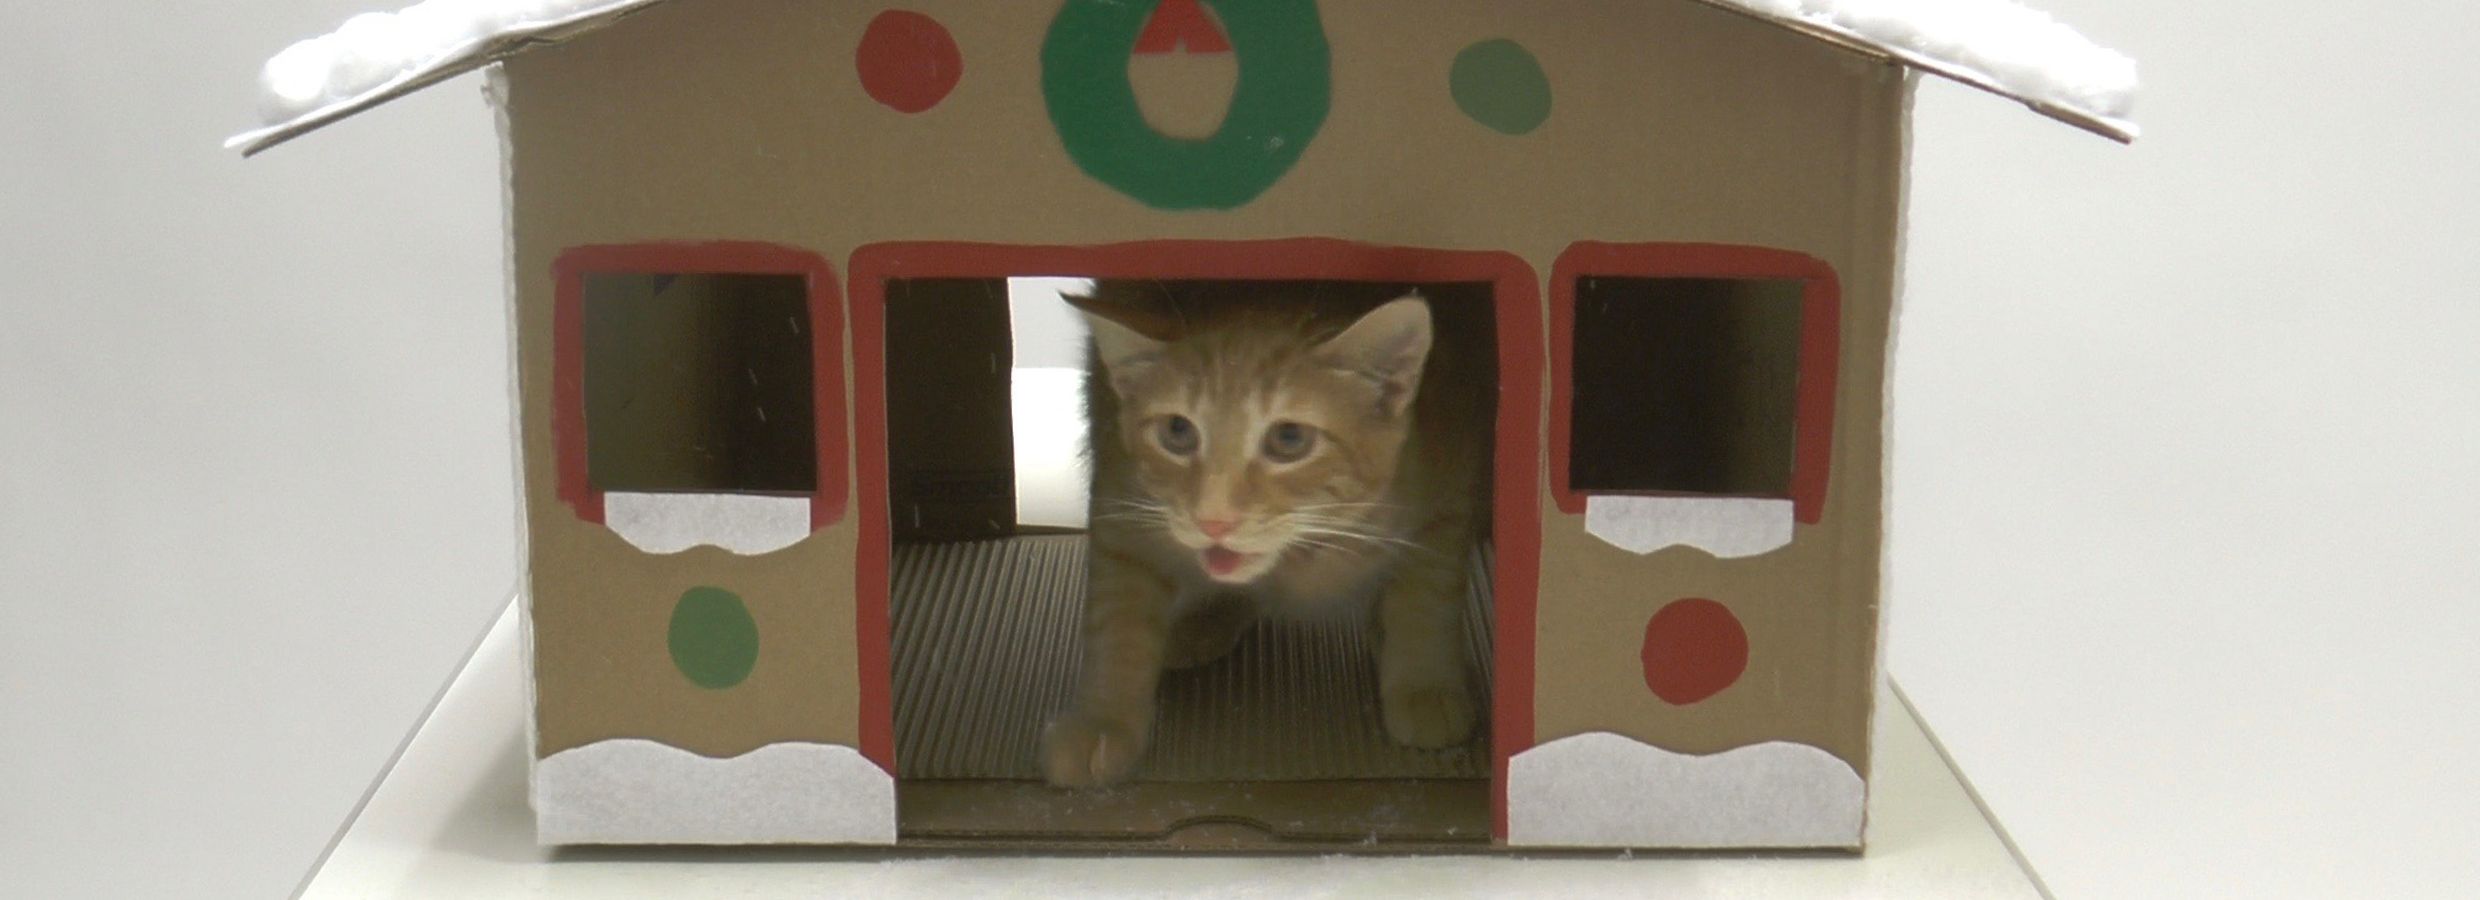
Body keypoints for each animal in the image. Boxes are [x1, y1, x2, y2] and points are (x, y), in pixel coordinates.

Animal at [1041, 282, 1488, 788]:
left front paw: (1423, 683)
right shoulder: (1120, 499)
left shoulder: (1452, 479)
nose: (1213, 520)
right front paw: (1102, 719)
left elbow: (1428, 593)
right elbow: (1116, 614)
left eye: (1289, 438)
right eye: (1177, 431)